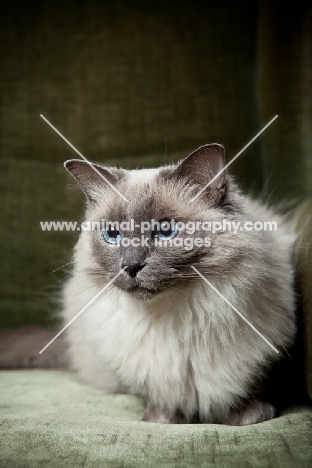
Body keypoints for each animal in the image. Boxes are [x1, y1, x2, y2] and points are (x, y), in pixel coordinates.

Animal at [61, 144, 294, 426]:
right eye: (112, 234)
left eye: (165, 230)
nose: (131, 266)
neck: (178, 317)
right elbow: (161, 397)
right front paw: (163, 419)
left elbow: (249, 387)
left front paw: (248, 415)